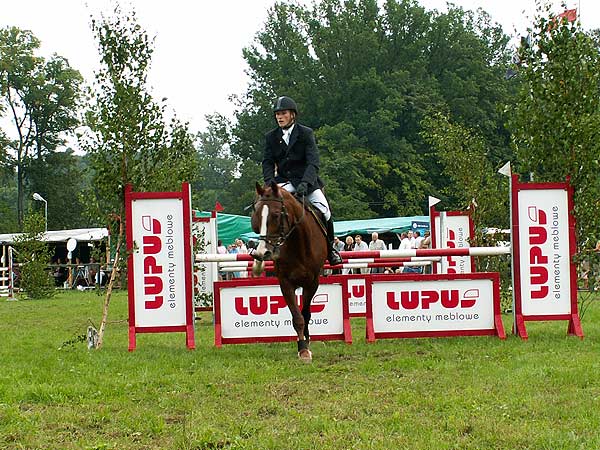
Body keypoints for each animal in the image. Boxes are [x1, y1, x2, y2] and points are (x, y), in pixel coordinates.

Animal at [252, 181, 330, 360]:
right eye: (257, 216)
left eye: (275, 215)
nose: (262, 253)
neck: (298, 243)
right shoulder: (285, 283)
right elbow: (297, 317)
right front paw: (302, 348)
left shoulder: (312, 283)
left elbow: (306, 314)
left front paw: (306, 343)